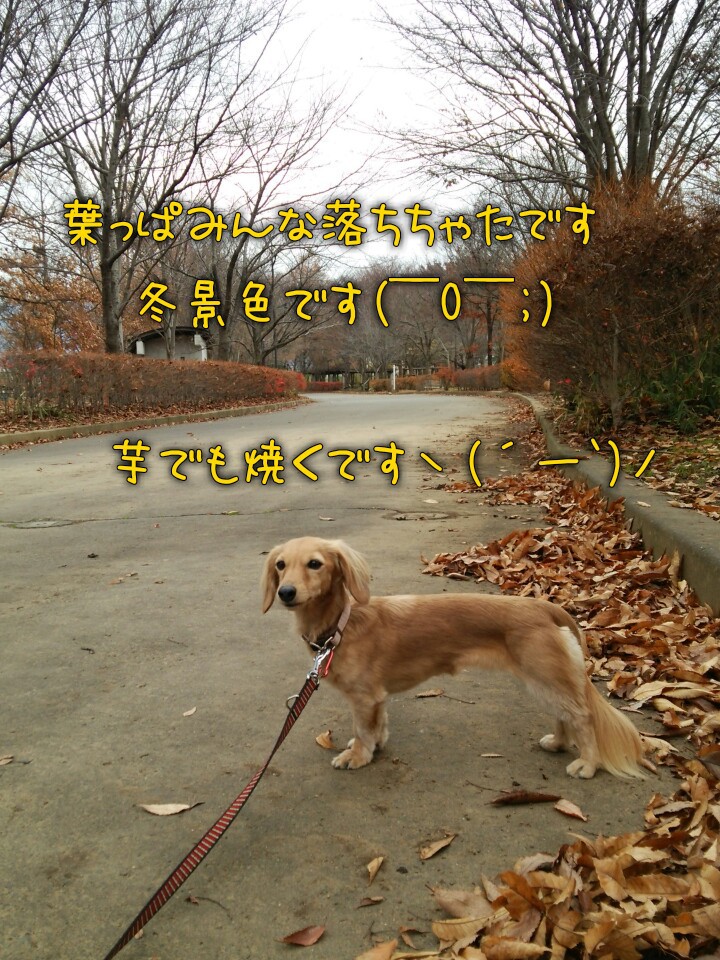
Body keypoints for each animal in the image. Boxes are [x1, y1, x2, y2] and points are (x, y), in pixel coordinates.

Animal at [260, 536, 648, 776]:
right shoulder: (377, 698)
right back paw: (558, 743)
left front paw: (357, 756)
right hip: (544, 682)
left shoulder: (363, 698)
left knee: (582, 718)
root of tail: (544, 606)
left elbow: (363, 730)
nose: (286, 592)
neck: (342, 624)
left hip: (547, 678)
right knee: (564, 717)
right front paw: (373, 745)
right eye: (280, 565)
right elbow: (377, 726)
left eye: (315, 564)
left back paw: (588, 763)